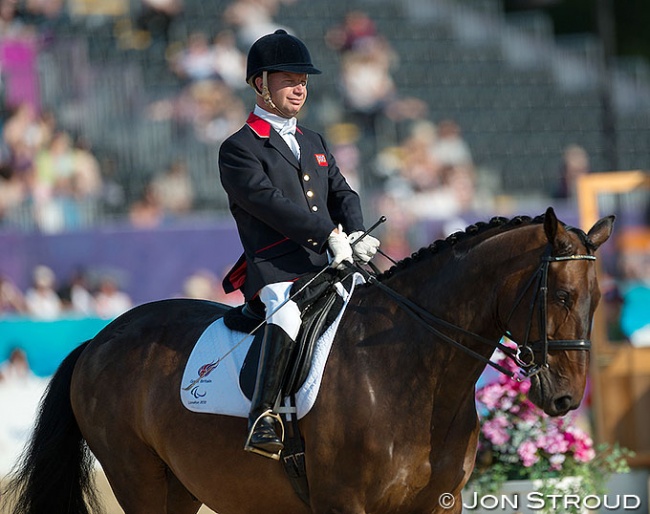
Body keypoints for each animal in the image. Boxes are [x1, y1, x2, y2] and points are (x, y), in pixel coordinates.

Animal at [5, 206, 612, 510]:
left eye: (598, 299)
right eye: (561, 296)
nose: (565, 398)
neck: (415, 376)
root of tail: (100, 339)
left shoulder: (440, 503)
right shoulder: (344, 504)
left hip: (180, 488)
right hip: (138, 479)